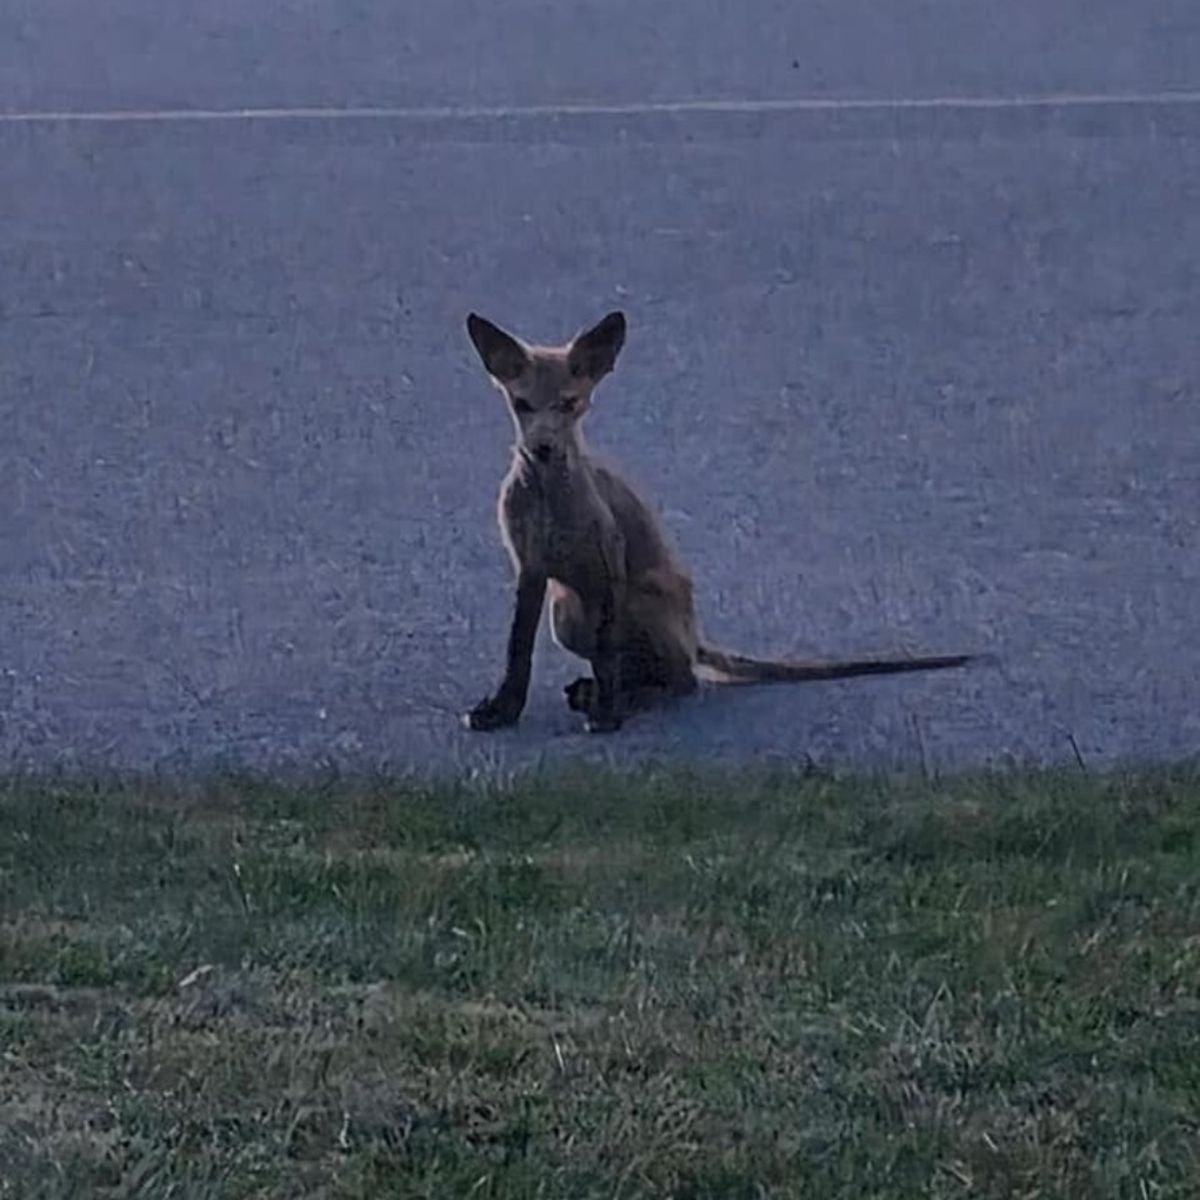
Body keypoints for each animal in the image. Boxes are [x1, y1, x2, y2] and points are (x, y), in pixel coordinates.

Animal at [462, 309, 974, 734]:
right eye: (522, 404)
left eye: (569, 404)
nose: (544, 449)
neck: (550, 505)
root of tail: (695, 636)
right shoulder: (530, 569)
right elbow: (517, 654)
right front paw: (503, 711)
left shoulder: (609, 566)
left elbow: (607, 656)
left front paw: (608, 713)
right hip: (566, 612)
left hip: (632, 600)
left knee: (681, 680)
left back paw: (622, 698)